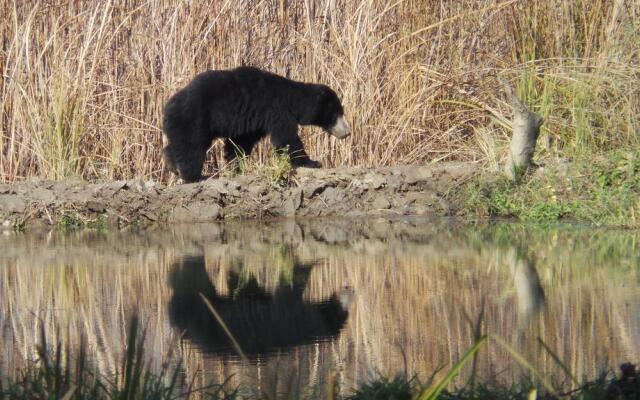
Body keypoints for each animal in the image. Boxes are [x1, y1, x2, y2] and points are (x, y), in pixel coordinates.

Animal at [162, 67, 348, 183]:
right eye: (337, 114)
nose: (347, 132)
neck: (292, 99)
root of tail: (167, 106)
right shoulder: (275, 110)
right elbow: (286, 138)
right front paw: (311, 162)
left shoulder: (252, 120)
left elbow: (240, 142)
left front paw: (236, 164)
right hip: (194, 117)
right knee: (191, 147)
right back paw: (191, 175)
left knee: (177, 144)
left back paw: (172, 165)